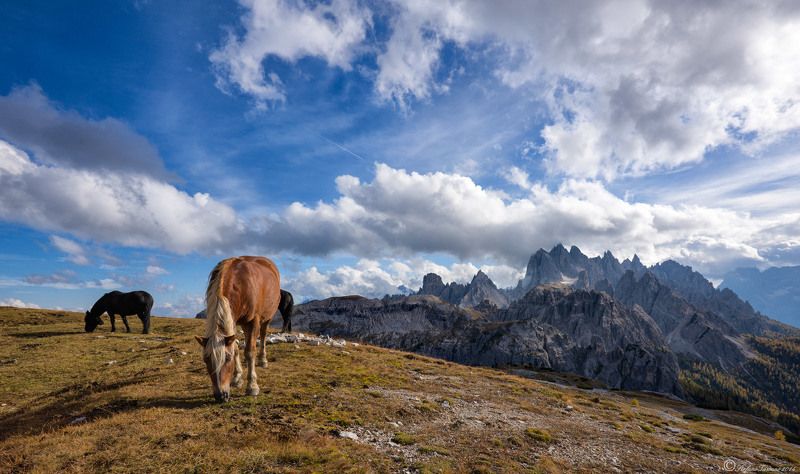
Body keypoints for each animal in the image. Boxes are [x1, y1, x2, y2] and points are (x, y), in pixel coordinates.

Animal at [195, 256, 280, 402]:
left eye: (227, 359)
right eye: (206, 359)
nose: (220, 396)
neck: (241, 283)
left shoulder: (254, 321)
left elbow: (250, 352)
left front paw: (252, 386)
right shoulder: (232, 320)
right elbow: (234, 348)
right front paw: (237, 378)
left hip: (266, 319)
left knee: (263, 335)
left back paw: (263, 360)